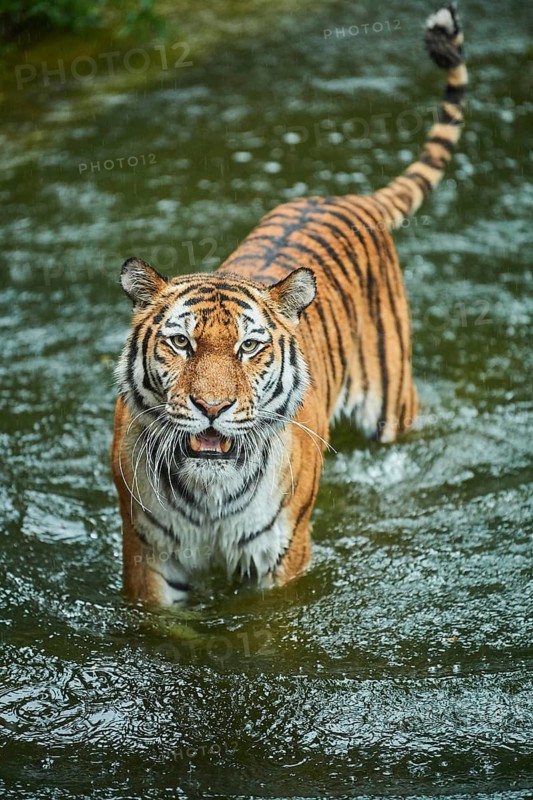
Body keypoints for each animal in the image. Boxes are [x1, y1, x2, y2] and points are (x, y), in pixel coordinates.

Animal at [111, 5, 468, 606]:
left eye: (249, 347)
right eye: (180, 342)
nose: (212, 408)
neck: (209, 493)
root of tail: (347, 197)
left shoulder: (279, 556)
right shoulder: (147, 557)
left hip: (391, 406)